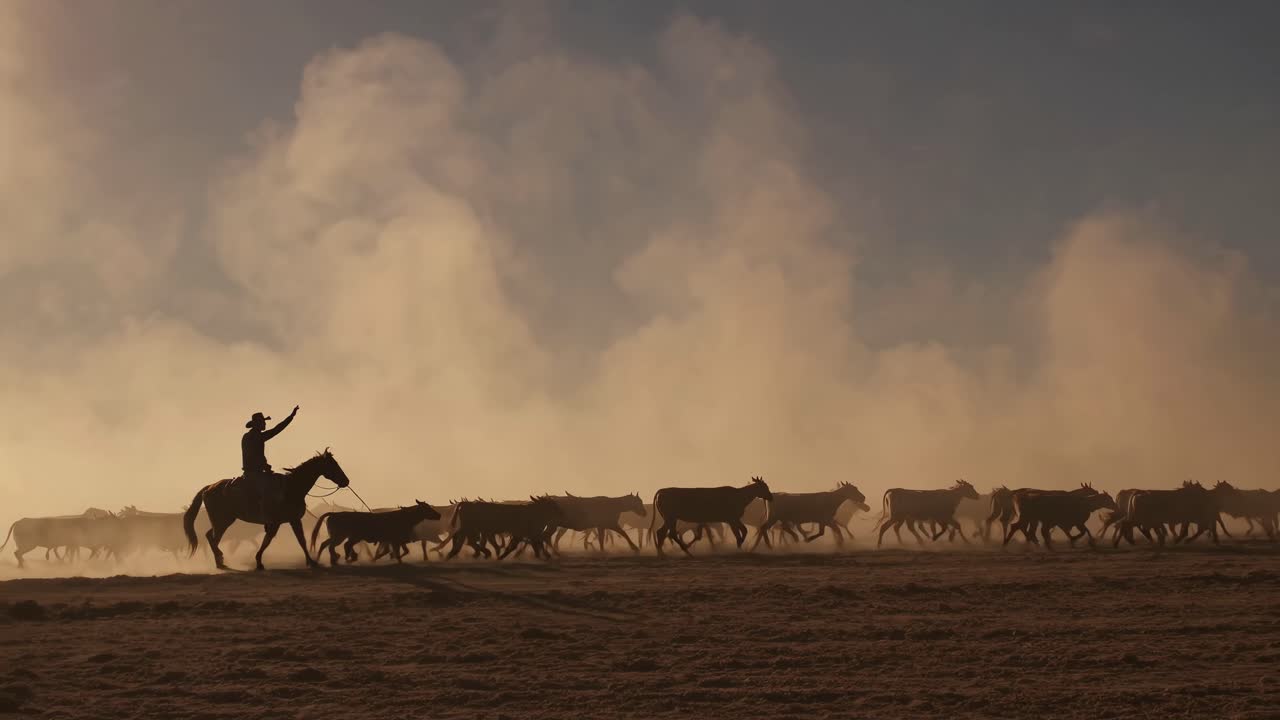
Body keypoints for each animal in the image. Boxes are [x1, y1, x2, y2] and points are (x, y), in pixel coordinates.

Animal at [309, 501, 441, 565]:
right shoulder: (395, 540)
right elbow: (398, 552)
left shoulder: (395, 540)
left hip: (340, 536)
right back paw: (336, 558)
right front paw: (397, 561)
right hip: (340, 536)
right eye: (427, 508)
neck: (404, 517)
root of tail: (334, 513)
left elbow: (401, 551)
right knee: (333, 546)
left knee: (327, 544)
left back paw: (324, 559)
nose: (439, 515)